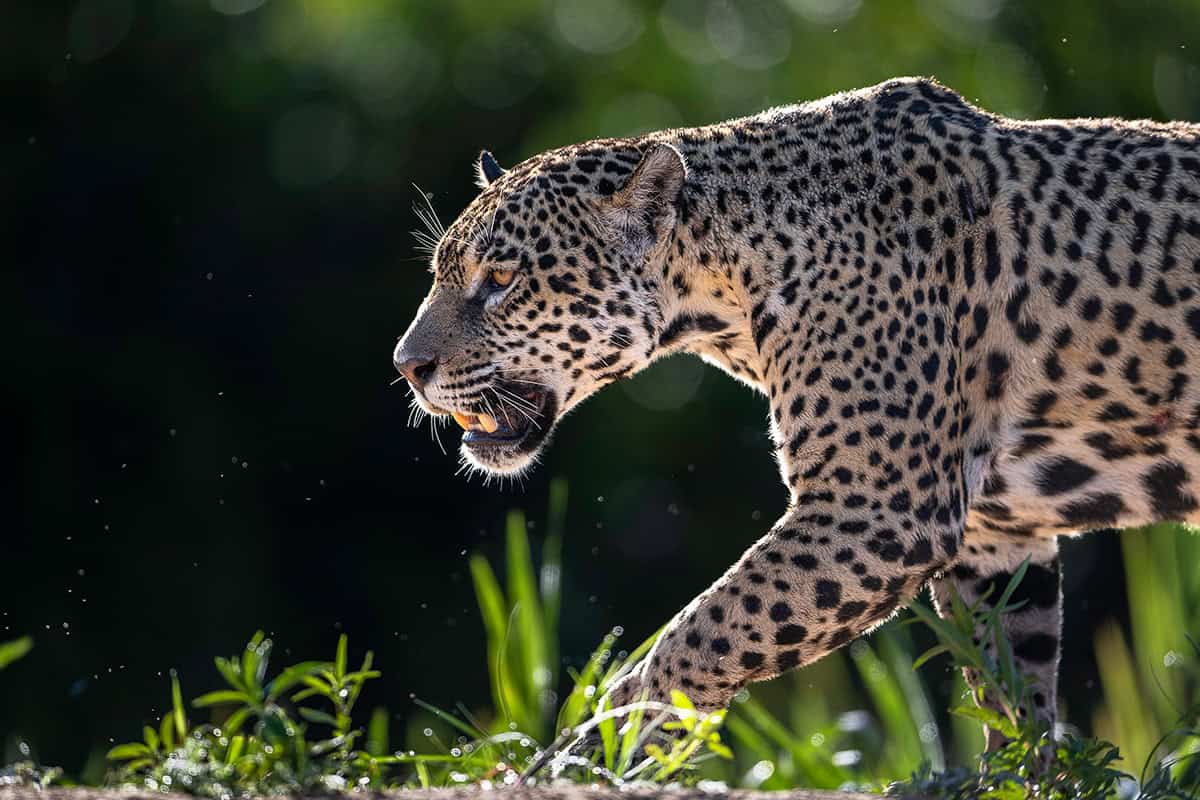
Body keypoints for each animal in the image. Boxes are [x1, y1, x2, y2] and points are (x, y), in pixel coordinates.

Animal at [393, 77, 1200, 747]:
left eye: (501, 280)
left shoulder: (877, 511)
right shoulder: (996, 537)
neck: (731, 279)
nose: (406, 365)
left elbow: (698, 637)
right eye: (440, 273)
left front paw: (596, 751)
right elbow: (1013, 698)